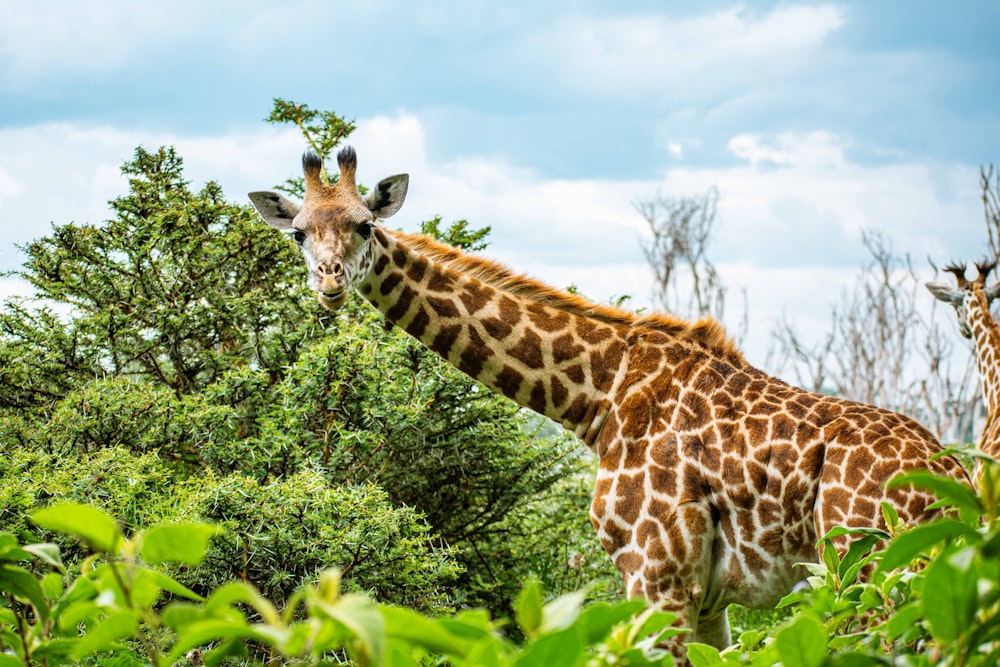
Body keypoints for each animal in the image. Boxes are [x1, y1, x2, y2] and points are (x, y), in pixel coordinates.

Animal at [248, 149, 968, 660]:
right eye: (300, 234)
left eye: (366, 224)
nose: (330, 282)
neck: (596, 393)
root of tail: (958, 485)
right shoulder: (706, 598)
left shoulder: (654, 572)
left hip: (876, 572)